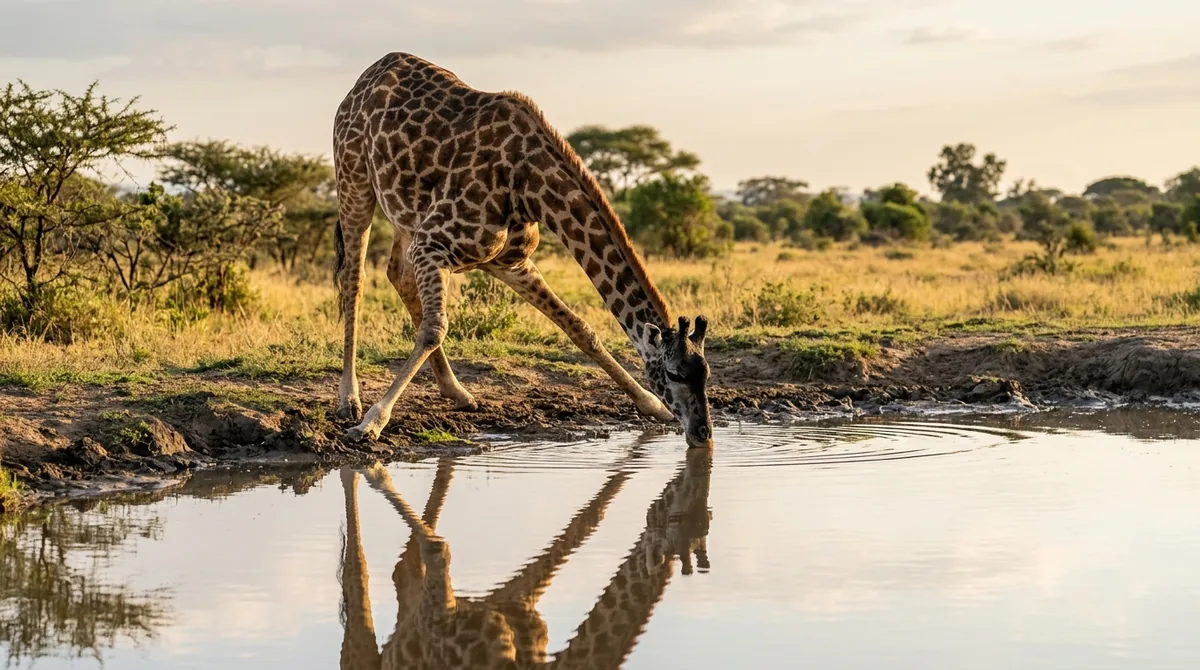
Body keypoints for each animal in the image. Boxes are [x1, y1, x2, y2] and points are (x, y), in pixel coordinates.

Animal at [332, 52, 713, 447]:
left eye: (706, 374)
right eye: (673, 374)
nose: (703, 432)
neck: (529, 187)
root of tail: (366, 78)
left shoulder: (510, 262)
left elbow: (579, 327)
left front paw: (650, 404)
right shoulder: (432, 246)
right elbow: (434, 329)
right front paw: (372, 422)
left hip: (405, 215)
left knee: (396, 273)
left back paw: (457, 393)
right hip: (354, 179)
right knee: (355, 277)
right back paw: (349, 401)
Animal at [336, 440, 713, 669]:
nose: (704, 438)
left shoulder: (513, 604)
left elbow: (587, 522)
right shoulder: (437, 616)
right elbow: (438, 549)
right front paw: (376, 470)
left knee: (402, 572)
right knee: (357, 583)